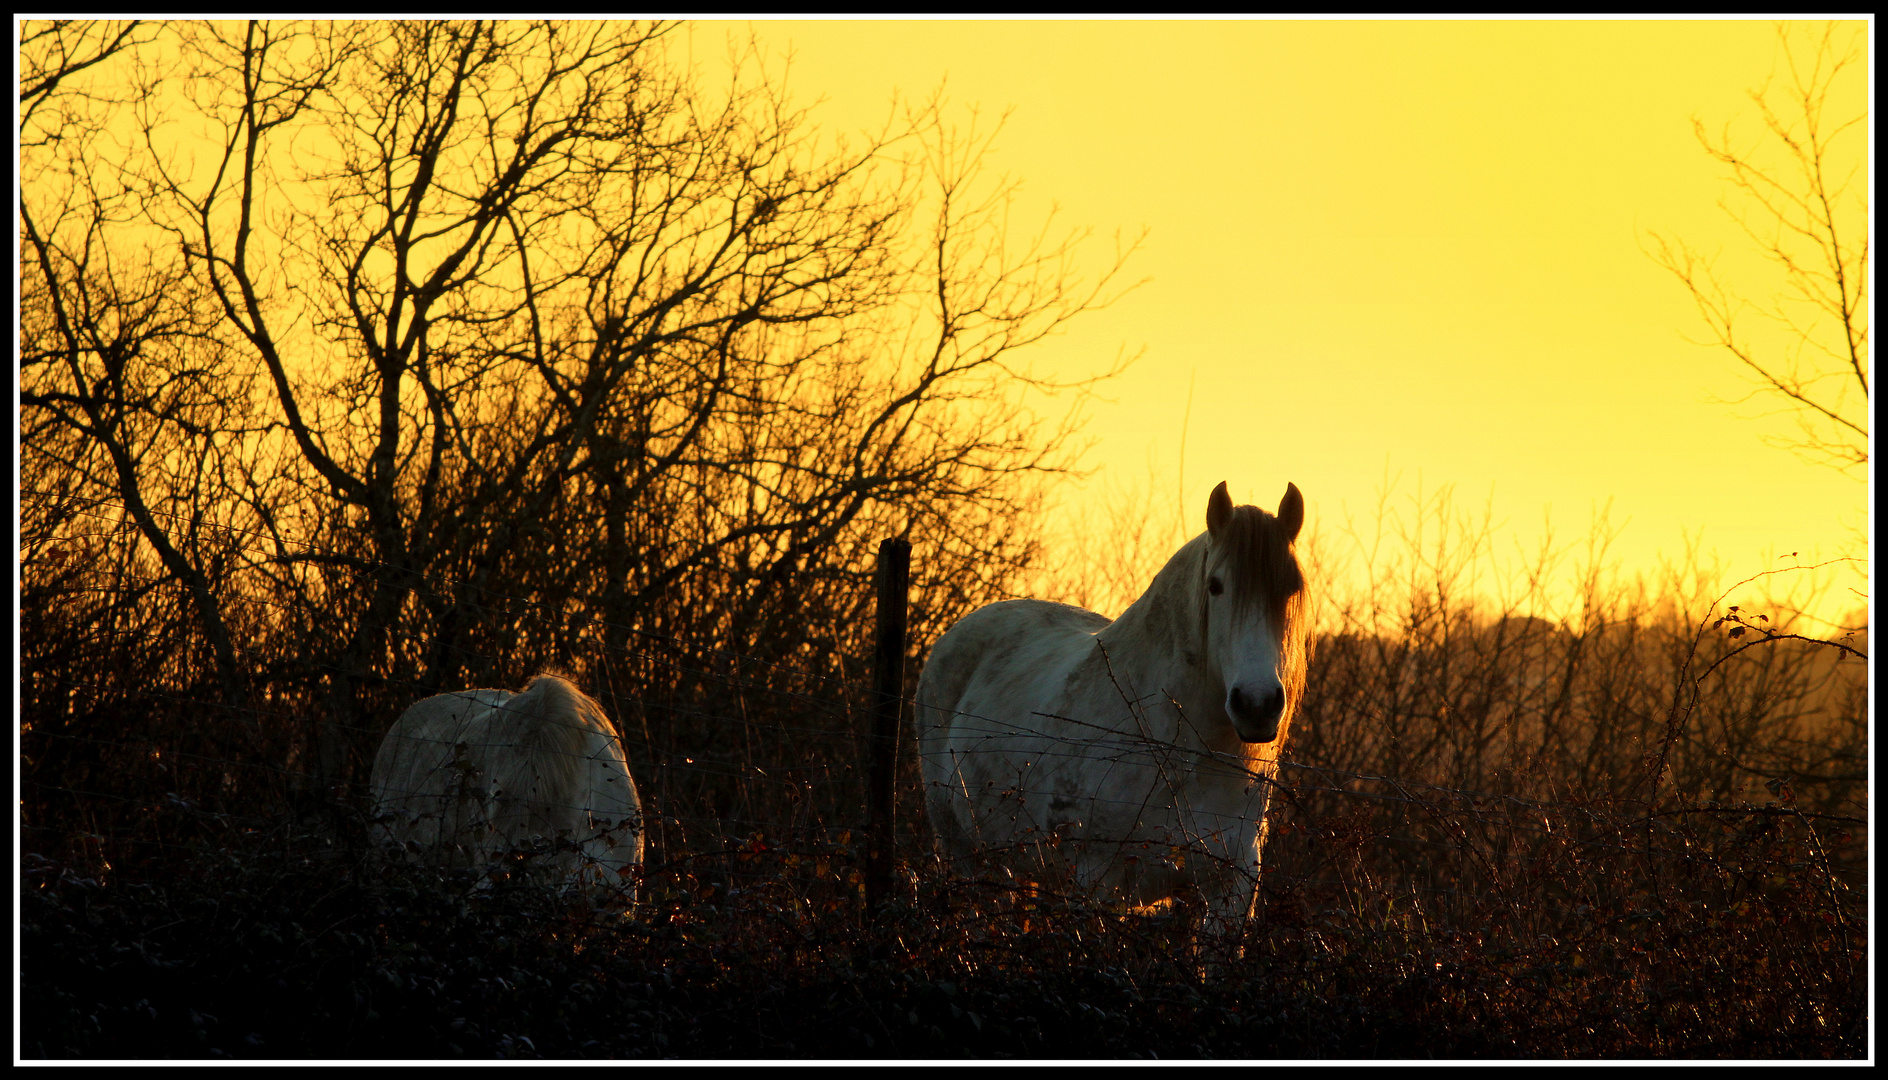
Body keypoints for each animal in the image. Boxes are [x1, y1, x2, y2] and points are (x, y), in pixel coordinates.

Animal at [910, 481, 1298, 928]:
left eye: (1290, 590)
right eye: (1215, 586)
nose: (1257, 704)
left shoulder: (1229, 893)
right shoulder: (1096, 881)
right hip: (967, 858)